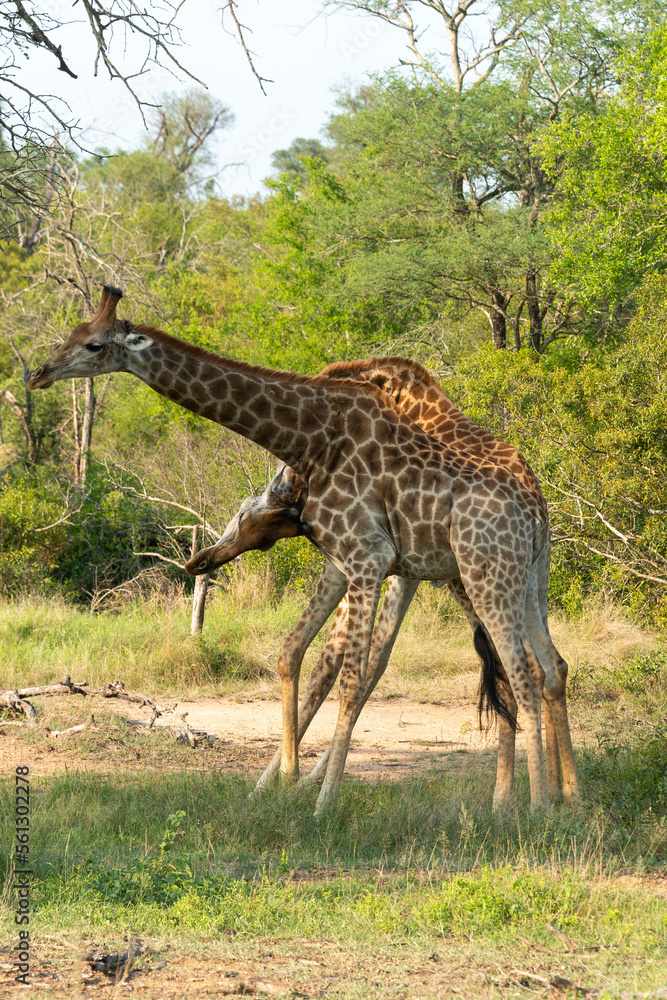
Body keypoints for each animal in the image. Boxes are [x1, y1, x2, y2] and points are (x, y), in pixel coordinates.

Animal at [187, 359, 578, 807]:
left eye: (249, 519)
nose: (199, 561)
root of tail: (536, 500)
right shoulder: (403, 569)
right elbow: (357, 659)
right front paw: (291, 780)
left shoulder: (386, 563)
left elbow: (341, 664)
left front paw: (286, 782)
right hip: (528, 577)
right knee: (550, 667)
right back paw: (562, 792)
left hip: (480, 580)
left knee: (519, 669)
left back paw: (520, 797)